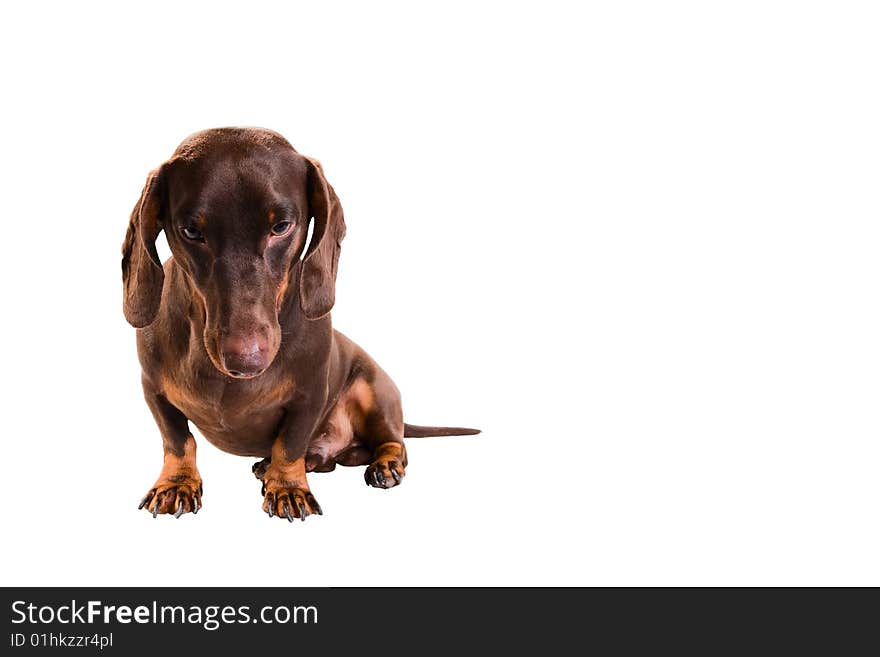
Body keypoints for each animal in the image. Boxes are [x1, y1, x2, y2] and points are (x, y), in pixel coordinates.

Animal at [121, 125, 478, 520]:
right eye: (191, 232)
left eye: (281, 226)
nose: (246, 361)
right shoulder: (153, 389)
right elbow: (178, 440)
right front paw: (176, 483)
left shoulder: (310, 394)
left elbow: (290, 443)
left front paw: (288, 487)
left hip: (377, 392)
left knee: (393, 441)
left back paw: (383, 465)